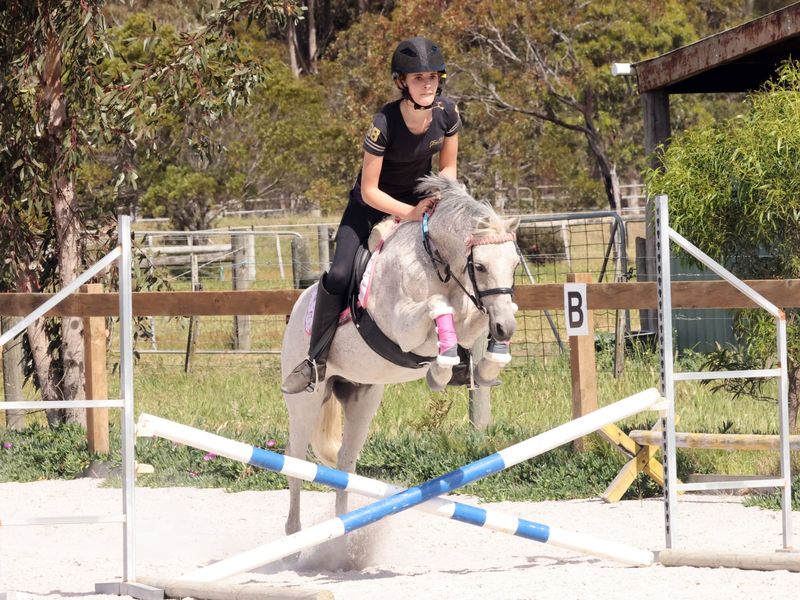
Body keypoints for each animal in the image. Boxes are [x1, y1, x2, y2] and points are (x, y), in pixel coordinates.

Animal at [280, 174, 520, 563]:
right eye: (481, 266)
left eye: (514, 264)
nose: (506, 330)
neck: (437, 263)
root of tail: (298, 304)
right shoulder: (406, 328)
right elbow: (439, 308)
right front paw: (441, 370)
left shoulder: (473, 312)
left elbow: (474, 319)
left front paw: (483, 366)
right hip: (304, 402)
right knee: (296, 463)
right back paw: (292, 544)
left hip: (362, 397)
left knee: (345, 464)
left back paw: (343, 546)